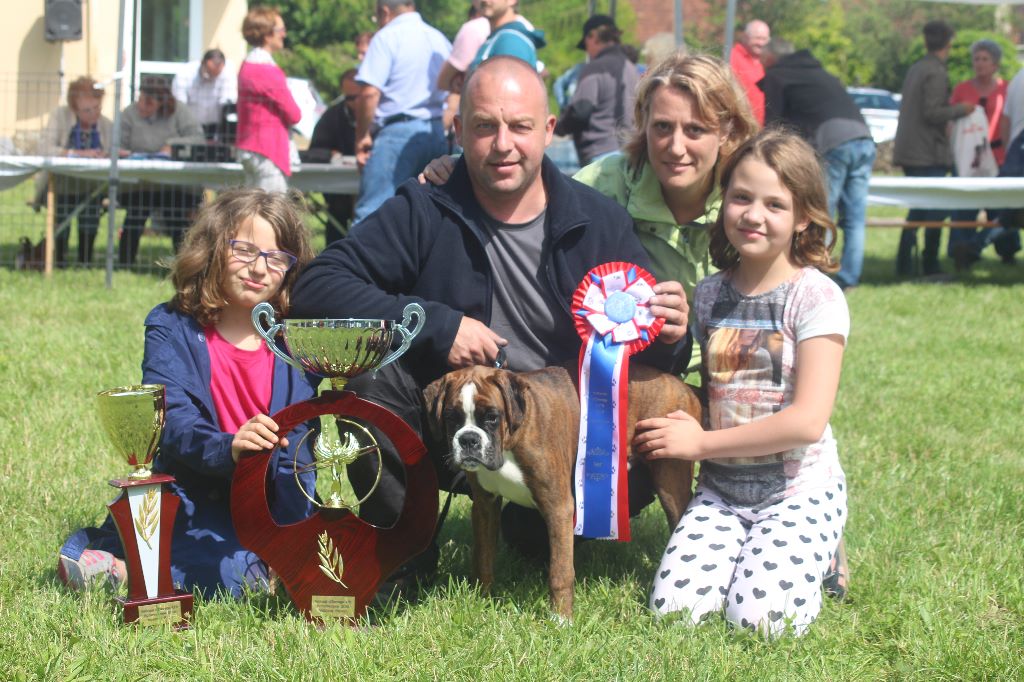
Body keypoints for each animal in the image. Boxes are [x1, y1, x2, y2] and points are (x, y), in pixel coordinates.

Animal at [423, 364, 704, 618]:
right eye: (451, 417)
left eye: (492, 416)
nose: (468, 439)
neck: (511, 440)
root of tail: (684, 386)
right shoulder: (485, 505)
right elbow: (483, 556)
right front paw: (483, 600)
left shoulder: (557, 507)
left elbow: (560, 571)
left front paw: (560, 619)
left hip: (671, 478)